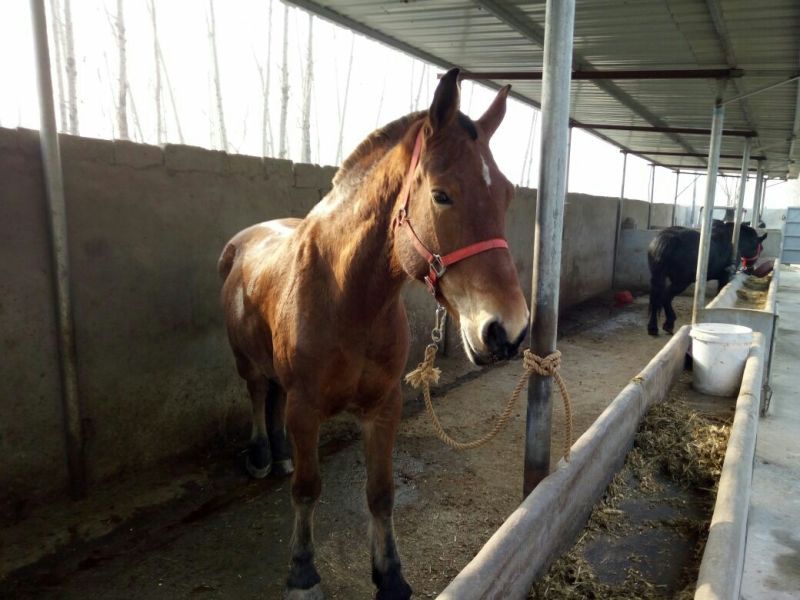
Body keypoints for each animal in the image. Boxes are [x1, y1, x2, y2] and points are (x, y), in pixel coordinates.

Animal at [217, 69, 529, 599]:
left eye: (507, 193)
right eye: (441, 194)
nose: (507, 329)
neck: (346, 297)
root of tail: (243, 240)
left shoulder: (384, 406)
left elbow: (381, 493)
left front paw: (391, 575)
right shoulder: (306, 408)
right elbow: (307, 489)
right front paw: (302, 572)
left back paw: (278, 453)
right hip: (244, 358)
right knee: (258, 393)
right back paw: (262, 454)